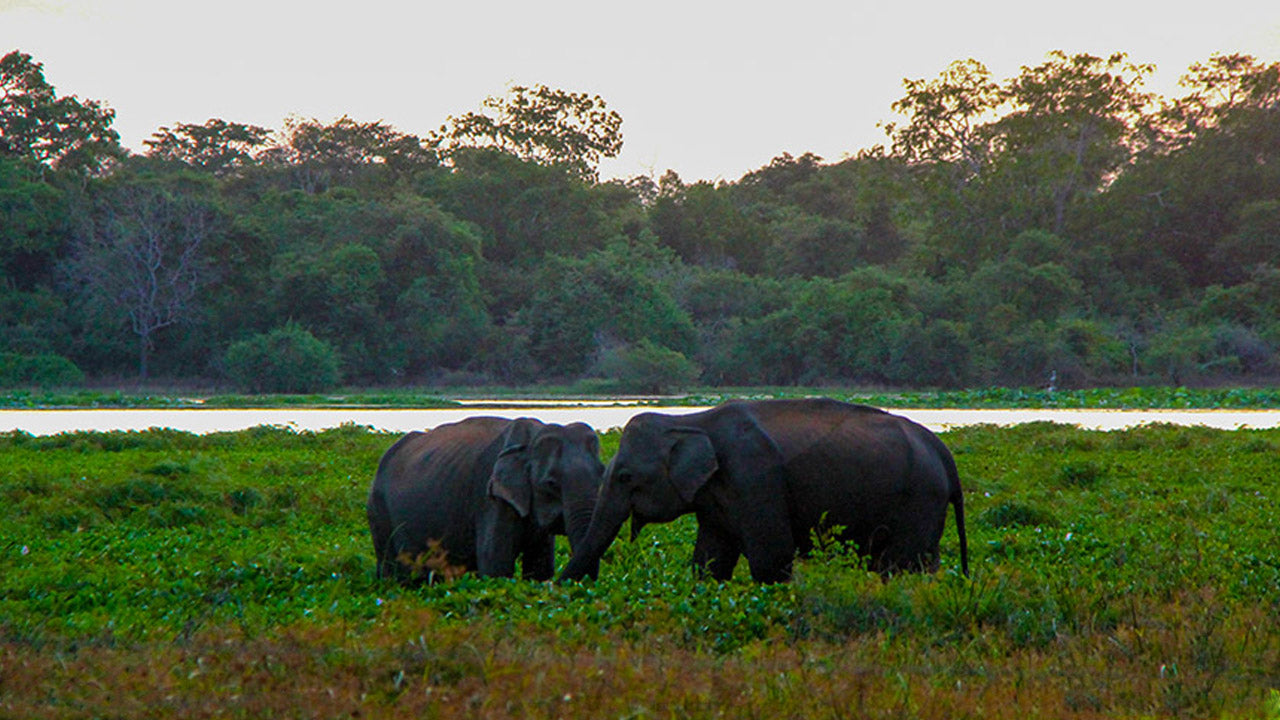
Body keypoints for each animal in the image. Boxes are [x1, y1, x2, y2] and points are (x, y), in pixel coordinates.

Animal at [368, 412, 601, 579]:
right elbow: (496, 563)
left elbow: (540, 567)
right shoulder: (490, 498)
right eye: (551, 483)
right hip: (379, 511)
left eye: (602, 473)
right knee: (393, 571)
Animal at [560, 397, 967, 584]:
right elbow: (710, 561)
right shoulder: (715, 498)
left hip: (920, 498)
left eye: (624, 476)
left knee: (902, 565)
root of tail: (941, 450)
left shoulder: (755, 477)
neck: (692, 419)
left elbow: (771, 558)